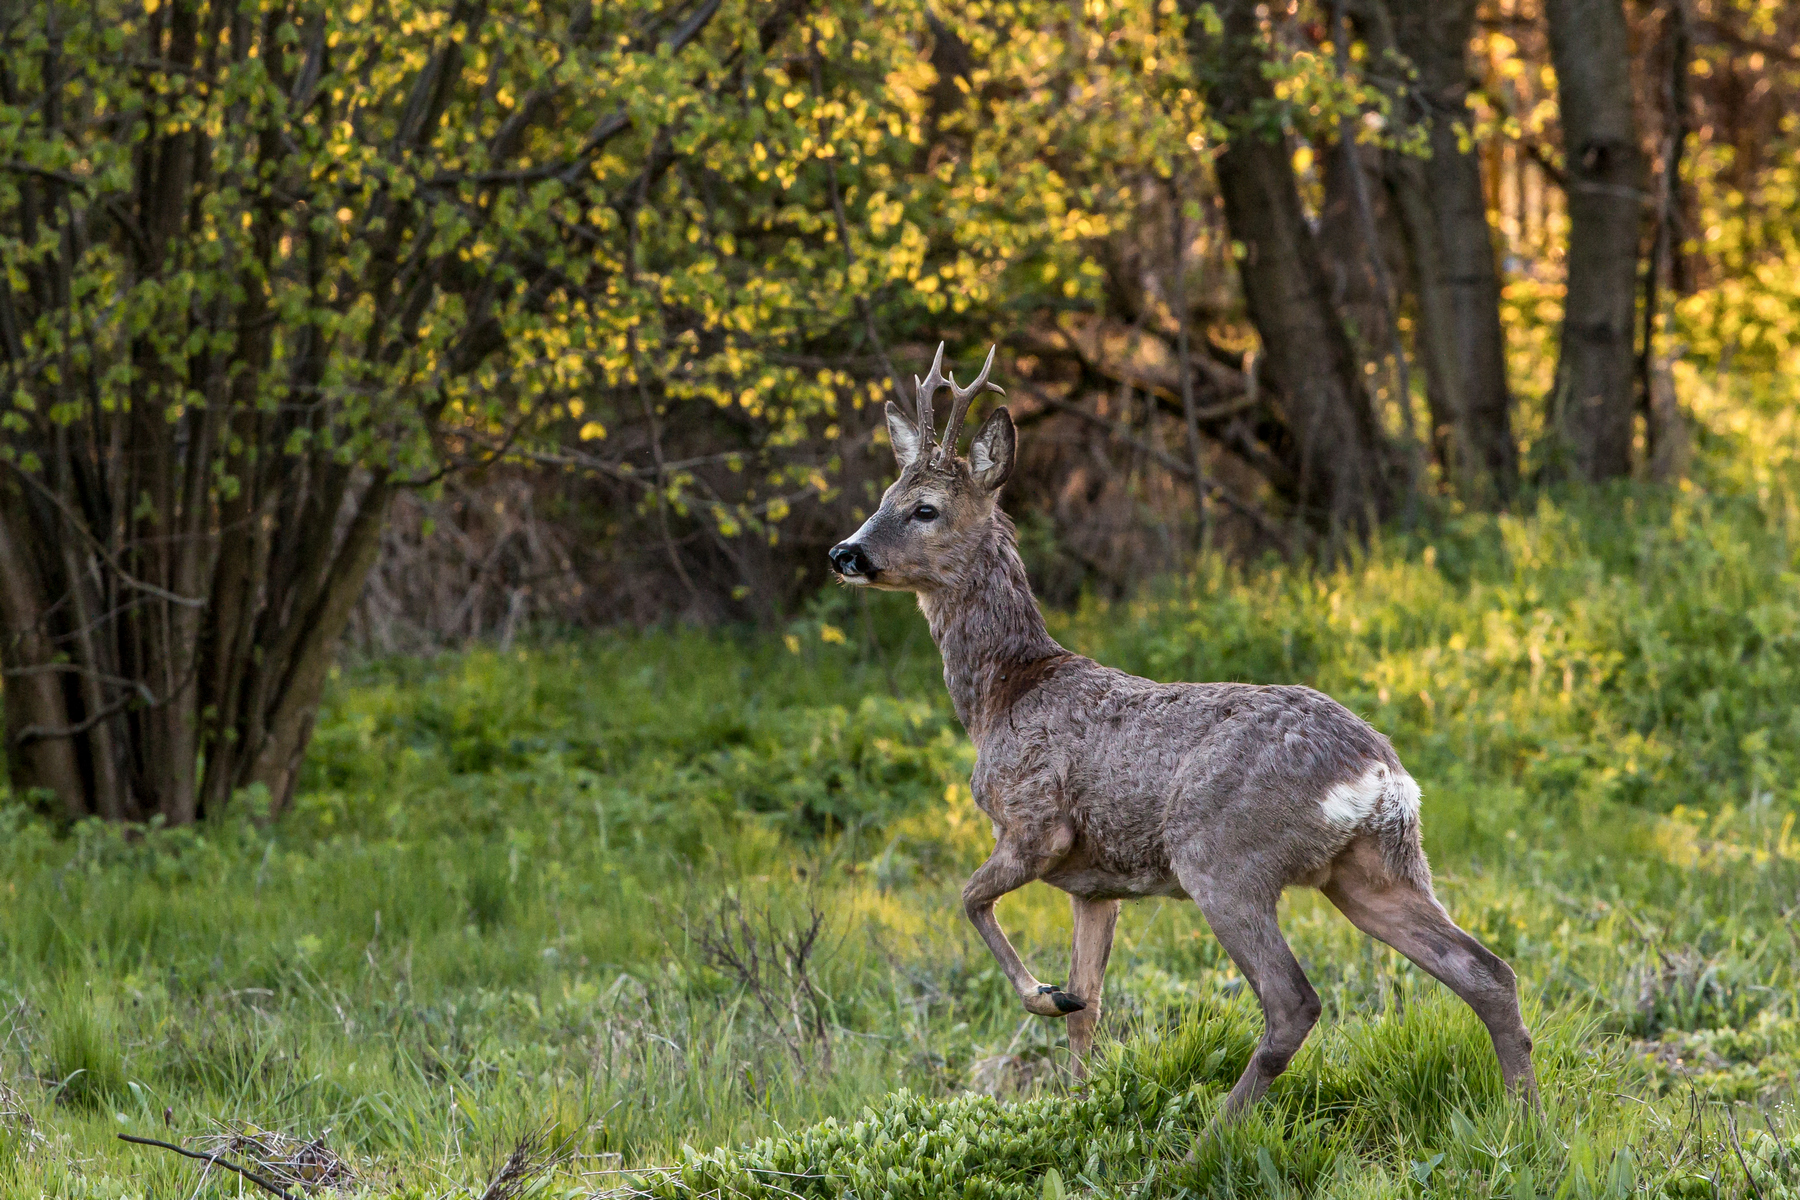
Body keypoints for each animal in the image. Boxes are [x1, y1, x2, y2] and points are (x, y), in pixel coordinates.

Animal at [824, 345, 1540, 1115]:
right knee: (1486, 969)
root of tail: (1378, 772)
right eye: (882, 498)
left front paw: (1045, 996)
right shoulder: (1093, 887)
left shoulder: (1035, 825)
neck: (1002, 694)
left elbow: (968, 900)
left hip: (1222, 857)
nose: (844, 553)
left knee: (1294, 1001)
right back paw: (1525, 1116)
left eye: (924, 509)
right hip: (1374, 867)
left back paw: (1213, 1130)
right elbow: (1091, 1005)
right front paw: (1079, 1100)